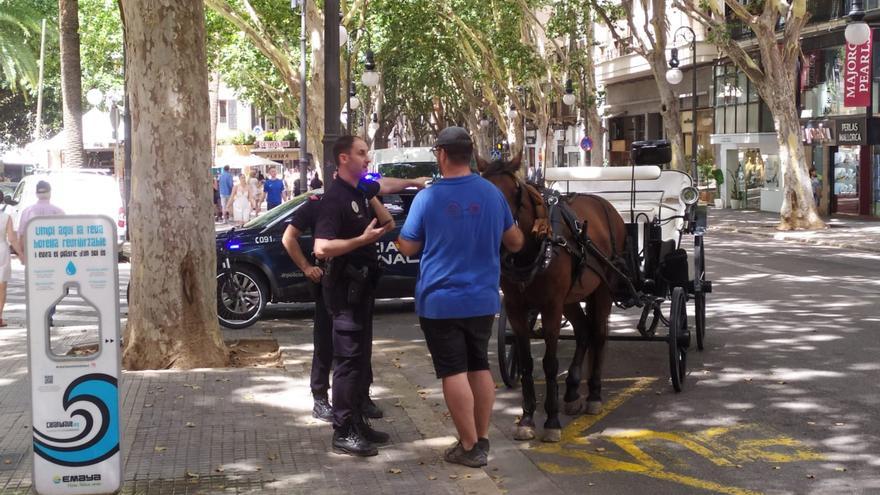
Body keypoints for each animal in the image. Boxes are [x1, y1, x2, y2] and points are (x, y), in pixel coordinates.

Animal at [478, 154, 628, 442]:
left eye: (514, 192)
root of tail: (607, 206)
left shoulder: (551, 307)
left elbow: (549, 362)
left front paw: (551, 421)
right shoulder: (516, 307)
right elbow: (526, 361)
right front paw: (527, 418)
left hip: (601, 290)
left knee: (599, 335)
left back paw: (593, 396)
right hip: (571, 299)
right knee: (584, 332)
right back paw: (571, 393)